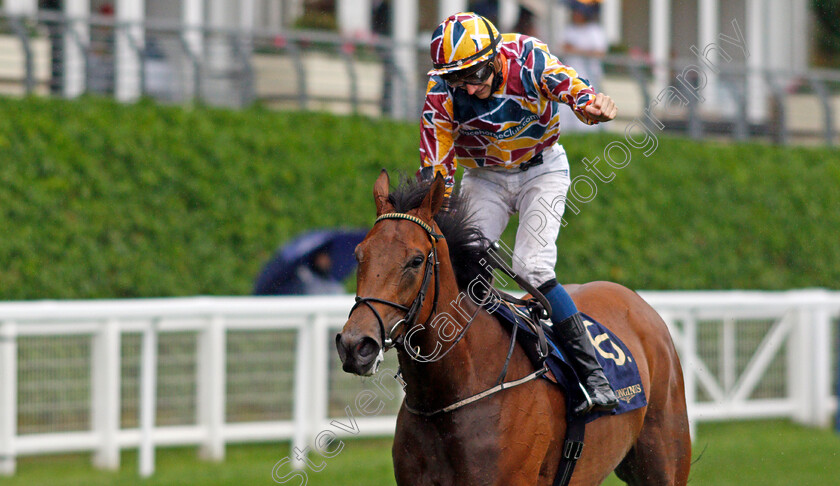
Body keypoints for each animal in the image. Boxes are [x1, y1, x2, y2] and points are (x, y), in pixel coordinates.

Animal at [334, 170, 688, 482]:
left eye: (416, 260)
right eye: (358, 255)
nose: (355, 345)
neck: (447, 396)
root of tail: (636, 301)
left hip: (664, 462)